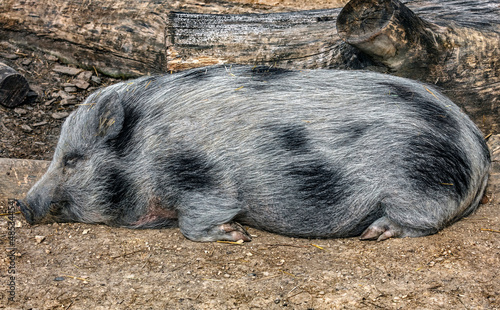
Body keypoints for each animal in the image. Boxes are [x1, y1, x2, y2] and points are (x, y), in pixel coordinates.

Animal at [17, 65, 490, 242]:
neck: (144, 152)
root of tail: (480, 152)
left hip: (422, 182)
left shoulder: (203, 181)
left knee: (424, 221)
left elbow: (198, 220)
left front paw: (238, 235)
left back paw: (374, 234)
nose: (20, 204)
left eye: (72, 159)